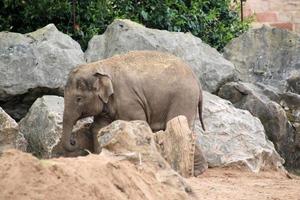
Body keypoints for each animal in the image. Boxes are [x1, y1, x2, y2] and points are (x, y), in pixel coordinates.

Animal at [61, 50, 206, 174]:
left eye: (79, 99)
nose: (74, 141)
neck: (100, 65)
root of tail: (197, 80)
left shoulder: (129, 101)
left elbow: (137, 123)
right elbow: (99, 127)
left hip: (184, 97)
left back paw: (196, 171)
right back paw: (198, 170)